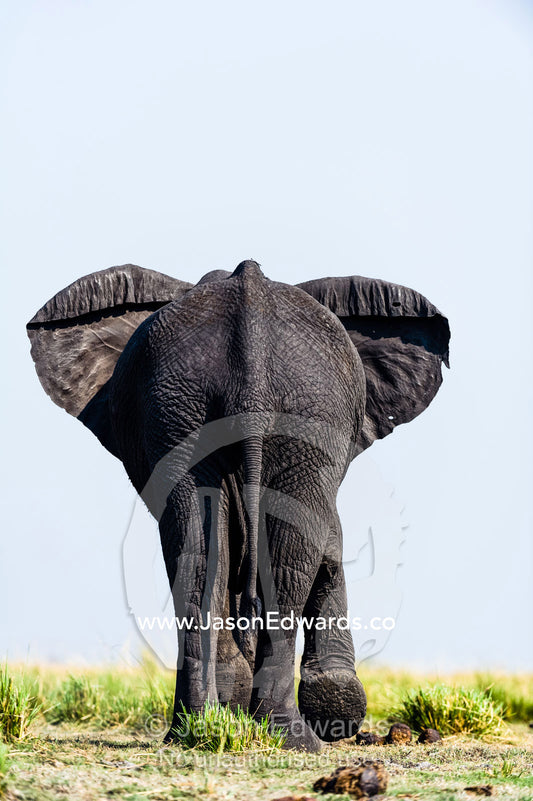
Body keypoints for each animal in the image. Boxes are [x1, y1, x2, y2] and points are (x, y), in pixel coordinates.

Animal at [27, 259, 449, 751]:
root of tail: (249, 316)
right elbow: (330, 539)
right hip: (253, 407)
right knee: (272, 552)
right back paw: (285, 736)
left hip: (202, 410)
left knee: (201, 549)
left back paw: (199, 730)